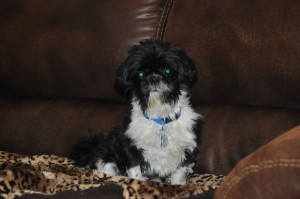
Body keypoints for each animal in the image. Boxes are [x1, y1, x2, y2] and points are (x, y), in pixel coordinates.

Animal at [69, 40, 203, 185]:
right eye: (140, 74)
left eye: (167, 71)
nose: (154, 78)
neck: (160, 118)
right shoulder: (130, 145)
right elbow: (135, 170)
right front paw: (138, 181)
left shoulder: (188, 150)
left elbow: (180, 174)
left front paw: (177, 184)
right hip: (108, 157)